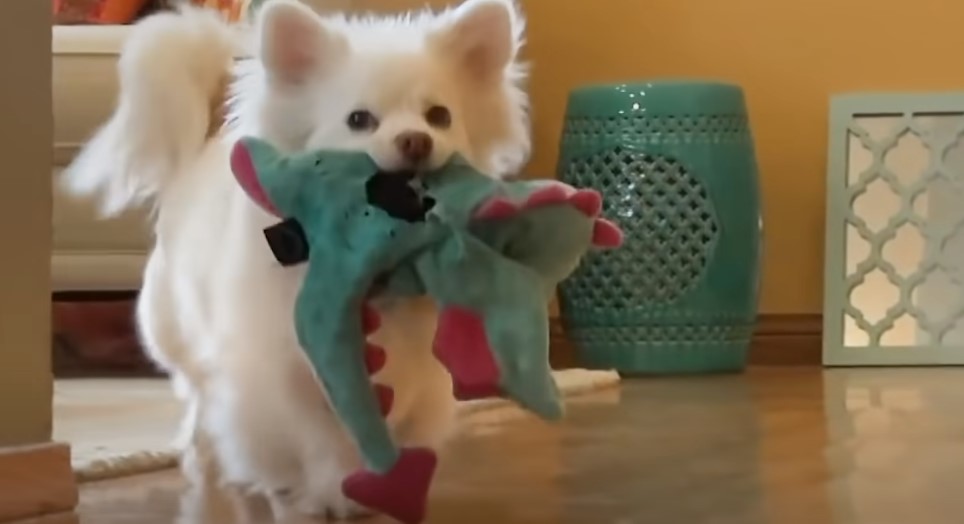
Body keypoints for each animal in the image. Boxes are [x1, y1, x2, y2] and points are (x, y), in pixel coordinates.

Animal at [64, 1, 532, 520]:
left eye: (439, 116)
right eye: (359, 120)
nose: (416, 140)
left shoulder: (414, 370)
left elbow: (393, 423)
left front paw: (379, 485)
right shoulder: (287, 373)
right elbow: (315, 437)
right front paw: (326, 493)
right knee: (205, 404)